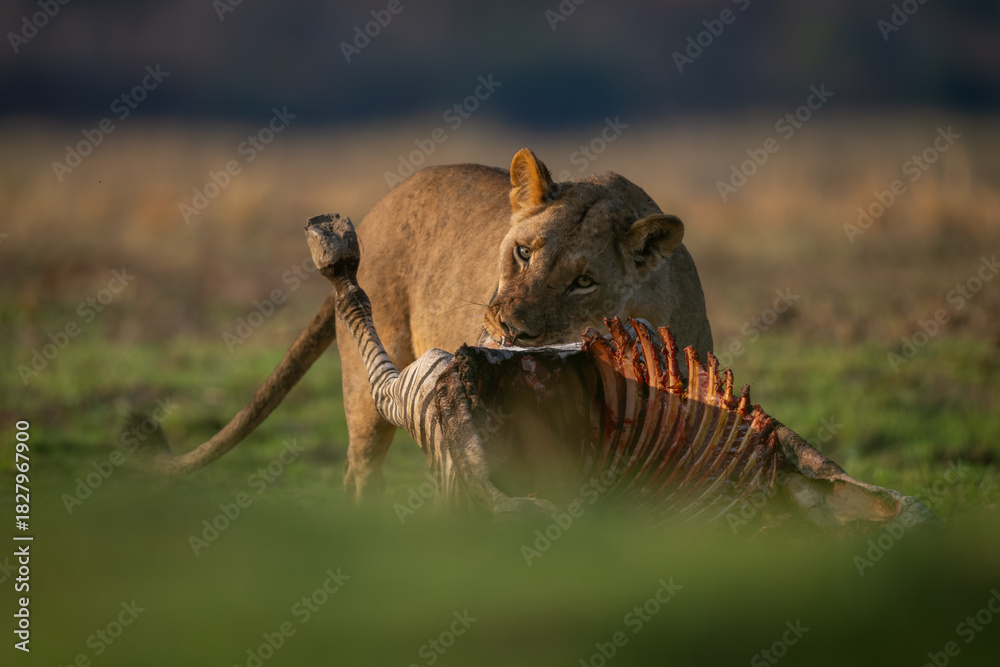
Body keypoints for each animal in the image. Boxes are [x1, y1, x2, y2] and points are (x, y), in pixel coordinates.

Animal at [132, 149, 713, 502]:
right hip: (369, 394)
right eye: (523, 253)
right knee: (360, 475)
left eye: (584, 281)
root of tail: (376, 208)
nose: (512, 329)